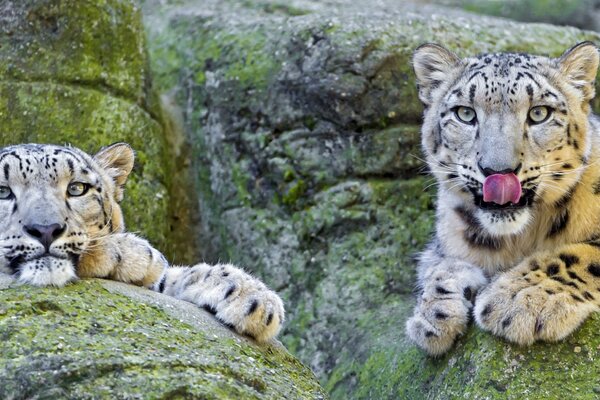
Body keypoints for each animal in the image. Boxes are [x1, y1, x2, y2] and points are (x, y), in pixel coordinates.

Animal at [406, 41, 600, 356]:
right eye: (465, 113)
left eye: (539, 113)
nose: (498, 171)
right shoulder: (446, 241)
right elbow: (440, 266)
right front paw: (434, 315)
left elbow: (581, 255)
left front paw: (519, 298)